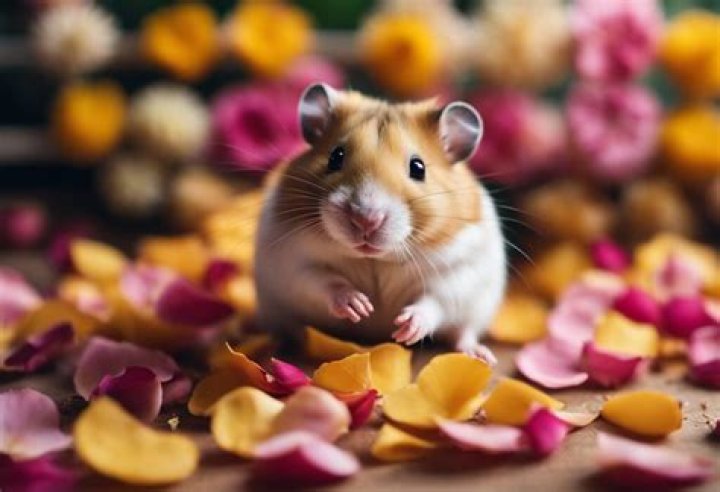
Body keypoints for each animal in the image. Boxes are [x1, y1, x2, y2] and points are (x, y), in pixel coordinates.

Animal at [254, 84, 506, 364]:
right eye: (335, 157)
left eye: (418, 167)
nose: (366, 219)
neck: (376, 259)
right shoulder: (295, 264)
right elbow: (325, 282)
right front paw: (360, 307)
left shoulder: (459, 271)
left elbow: (433, 301)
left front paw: (405, 328)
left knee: (463, 333)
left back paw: (481, 356)